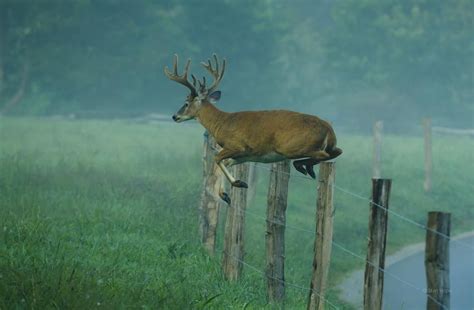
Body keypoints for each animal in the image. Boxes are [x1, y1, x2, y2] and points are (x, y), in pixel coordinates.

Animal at [165, 54, 342, 203]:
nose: (175, 116)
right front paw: (225, 194)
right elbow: (226, 162)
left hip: (291, 146)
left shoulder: (237, 145)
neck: (221, 123)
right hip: (322, 145)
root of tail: (329, 129)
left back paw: (304, 167)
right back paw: (308, 168)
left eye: (186, 103)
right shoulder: (246, 155)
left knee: (323, 154)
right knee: (337, 151)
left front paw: (238, 183)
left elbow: (217, 159)